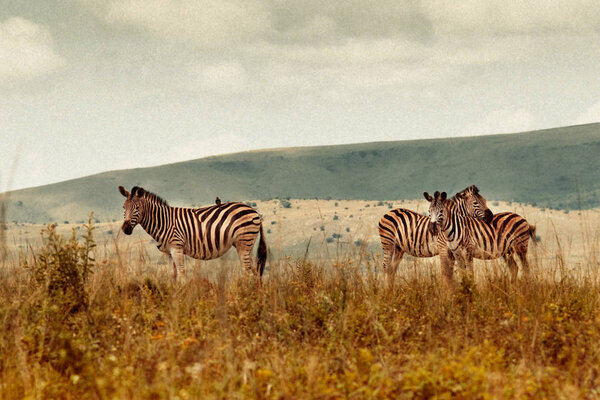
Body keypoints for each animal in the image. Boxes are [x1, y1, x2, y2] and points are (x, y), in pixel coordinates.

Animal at [118, 187, 268, 282]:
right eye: (124, 207)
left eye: (137, 208)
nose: (125, 229)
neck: (164, 222)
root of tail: (254, 211)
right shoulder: (168, 252)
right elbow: (172, 275)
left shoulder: (177, 249)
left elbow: (182, 274)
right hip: (246, 245)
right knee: (255, 269)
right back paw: (256, 295)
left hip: (244, 241)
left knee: (247, 270)